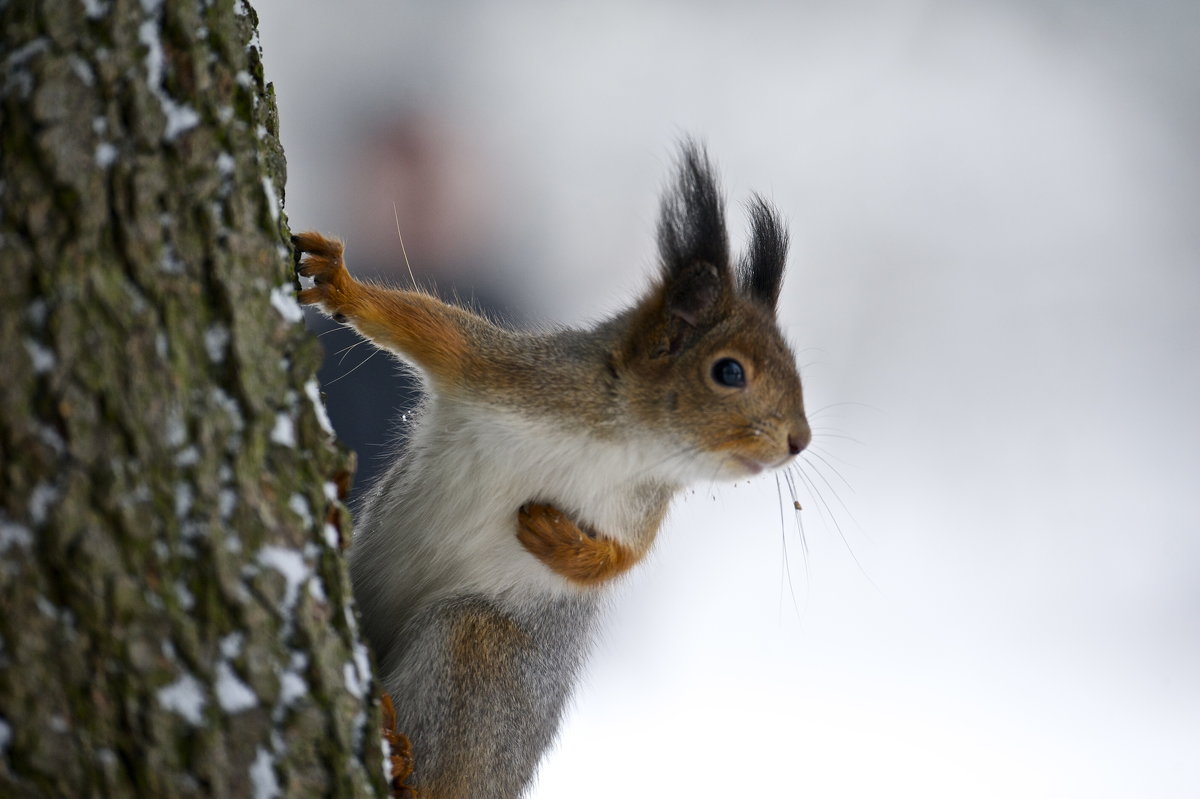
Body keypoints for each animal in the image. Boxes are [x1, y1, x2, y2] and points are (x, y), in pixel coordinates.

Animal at [295, 144, 811, 796]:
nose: (800, 441)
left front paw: (561, 543)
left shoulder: (641, 508)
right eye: (729, 372)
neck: (626, 440)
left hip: (481, 652)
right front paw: (342, 284)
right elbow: (427, 326)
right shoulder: (507, 372)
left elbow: (626, 557)